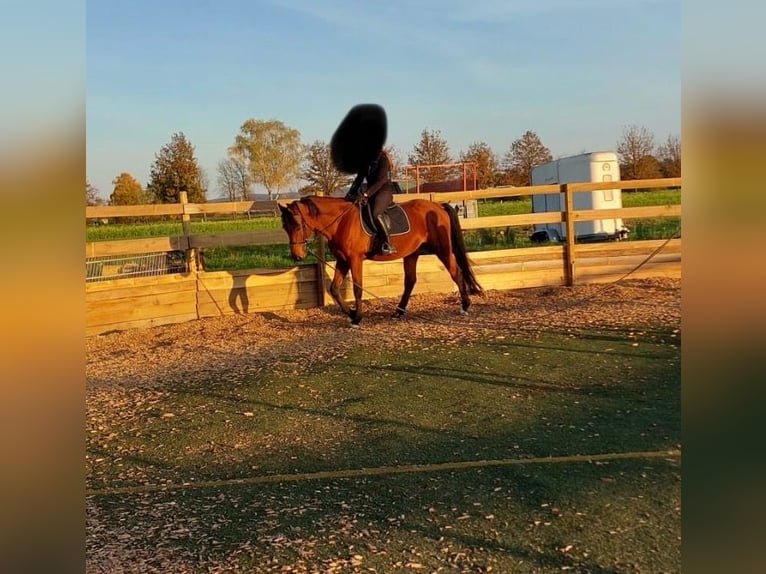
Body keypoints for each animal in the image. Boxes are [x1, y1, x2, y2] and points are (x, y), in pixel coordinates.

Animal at [280, 197, 484, 324]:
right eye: (285, 227)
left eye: (297, 225)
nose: (297, 255)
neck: (341, 221)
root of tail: (439, 206)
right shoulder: (343, 260)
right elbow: (334, 289)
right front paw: (351, 313)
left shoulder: (354, 260)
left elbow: (357, 288)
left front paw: (357, 317)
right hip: (412, 254)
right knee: (410, 282)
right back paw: (398, 312)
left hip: (443, 250)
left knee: (456, 273)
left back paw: (465, 306)